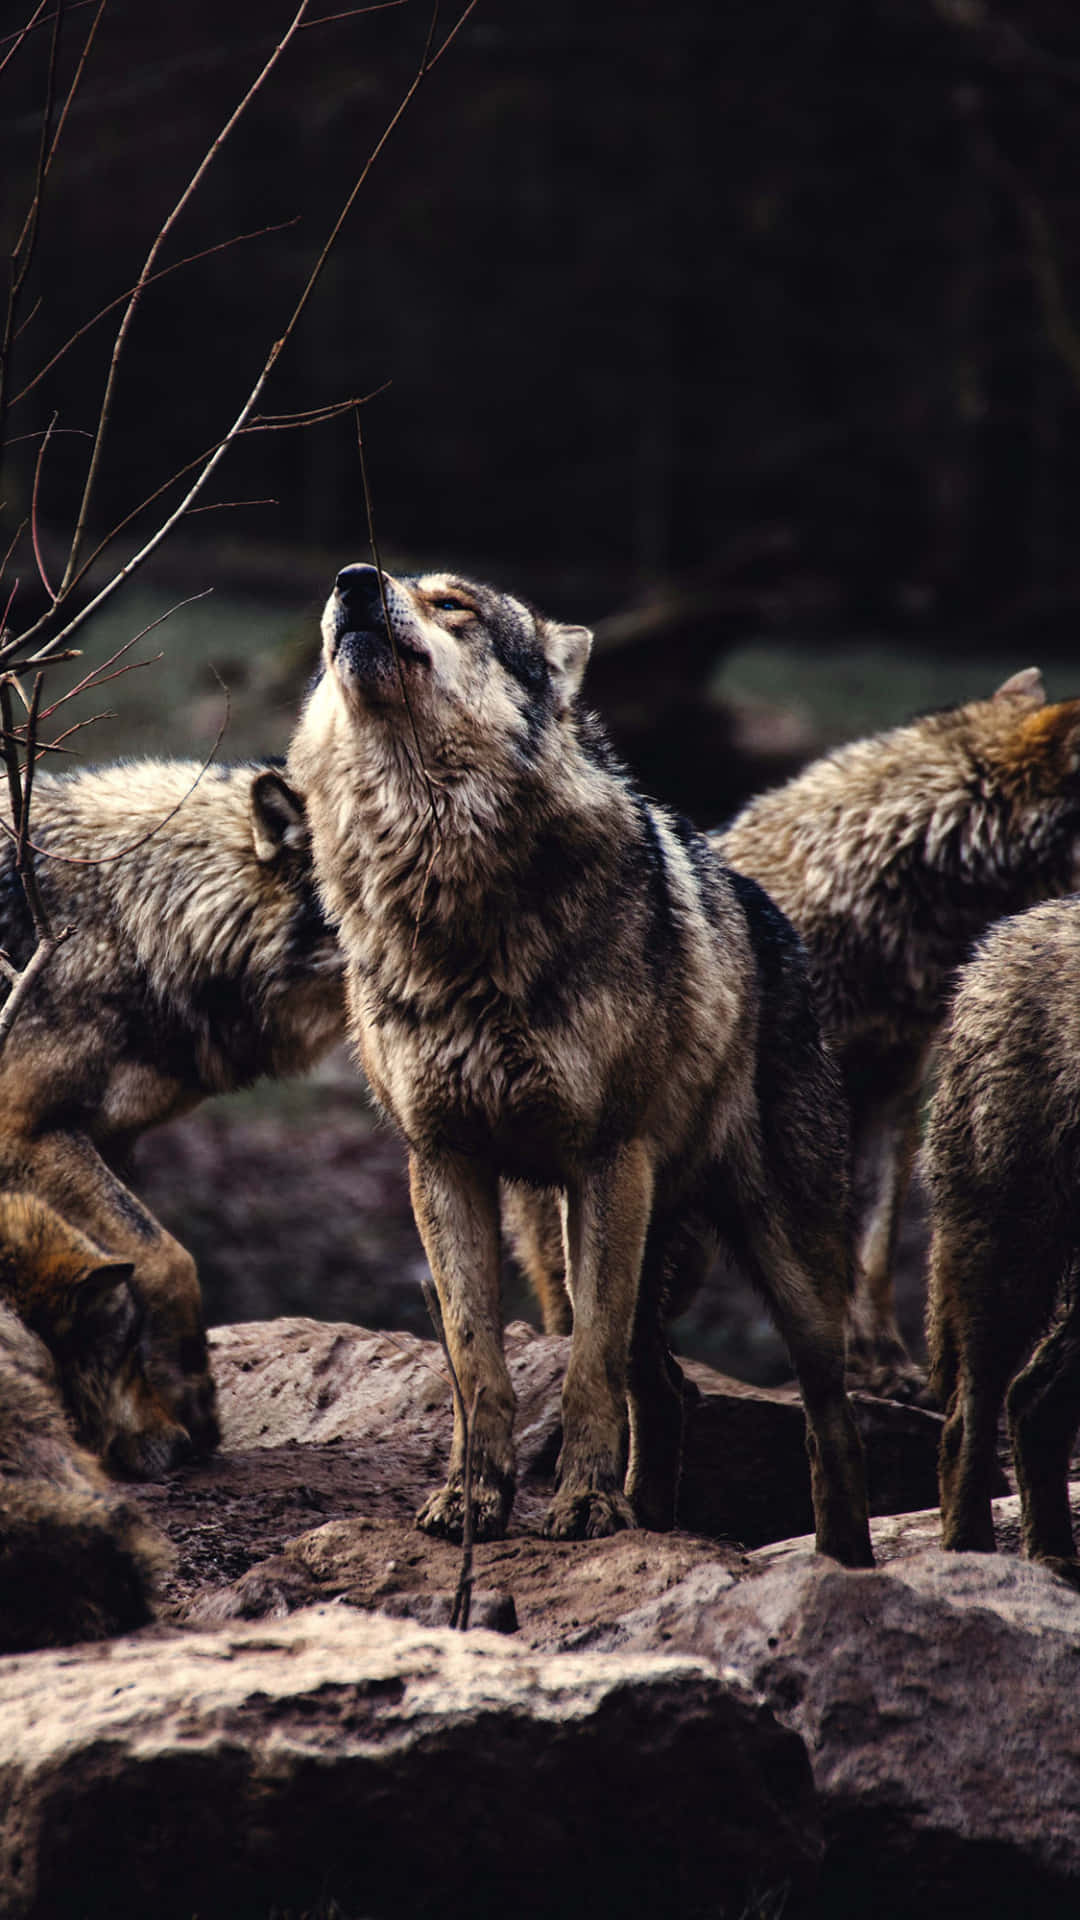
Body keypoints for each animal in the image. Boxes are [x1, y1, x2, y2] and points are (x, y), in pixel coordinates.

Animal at [288, 560, 876, 1566]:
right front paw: (474, 1501)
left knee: (827, 1418)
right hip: (578, 1236)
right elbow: (476, 1362)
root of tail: (770, 912)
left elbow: (586, 1372)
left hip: (780, 1260)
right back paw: (656, 1520)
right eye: (365, 585)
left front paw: (588, 1508)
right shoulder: (442, 1163)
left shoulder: (606, 1159)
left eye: (455, 605)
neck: (443, 881)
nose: (355, 580)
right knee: (670, 1389)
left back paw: (843, 1562)